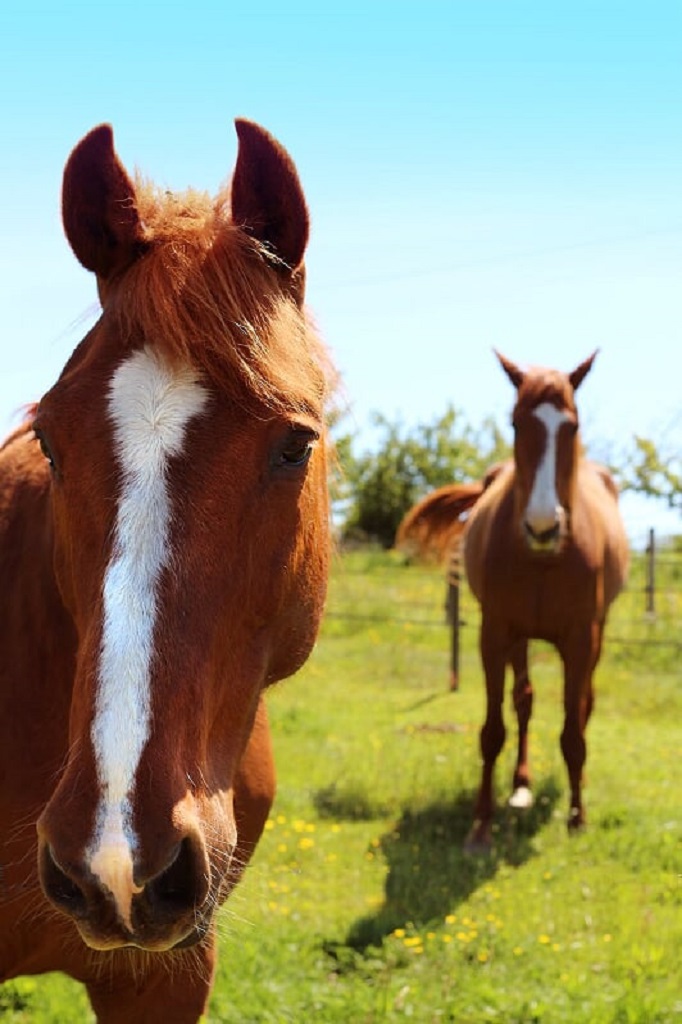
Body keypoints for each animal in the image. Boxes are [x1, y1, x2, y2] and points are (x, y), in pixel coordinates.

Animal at [399, 352, 626, 847]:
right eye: (517, 423)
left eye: (572, 427)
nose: (543, 527)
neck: (542, 558)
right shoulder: (495, 632)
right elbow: (493, 730)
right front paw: (481, 825)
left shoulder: (582, 639)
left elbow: (573, 731)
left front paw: (577, 817)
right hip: (519, 637)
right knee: (523, 700)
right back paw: (520, 787)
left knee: (583, 705)